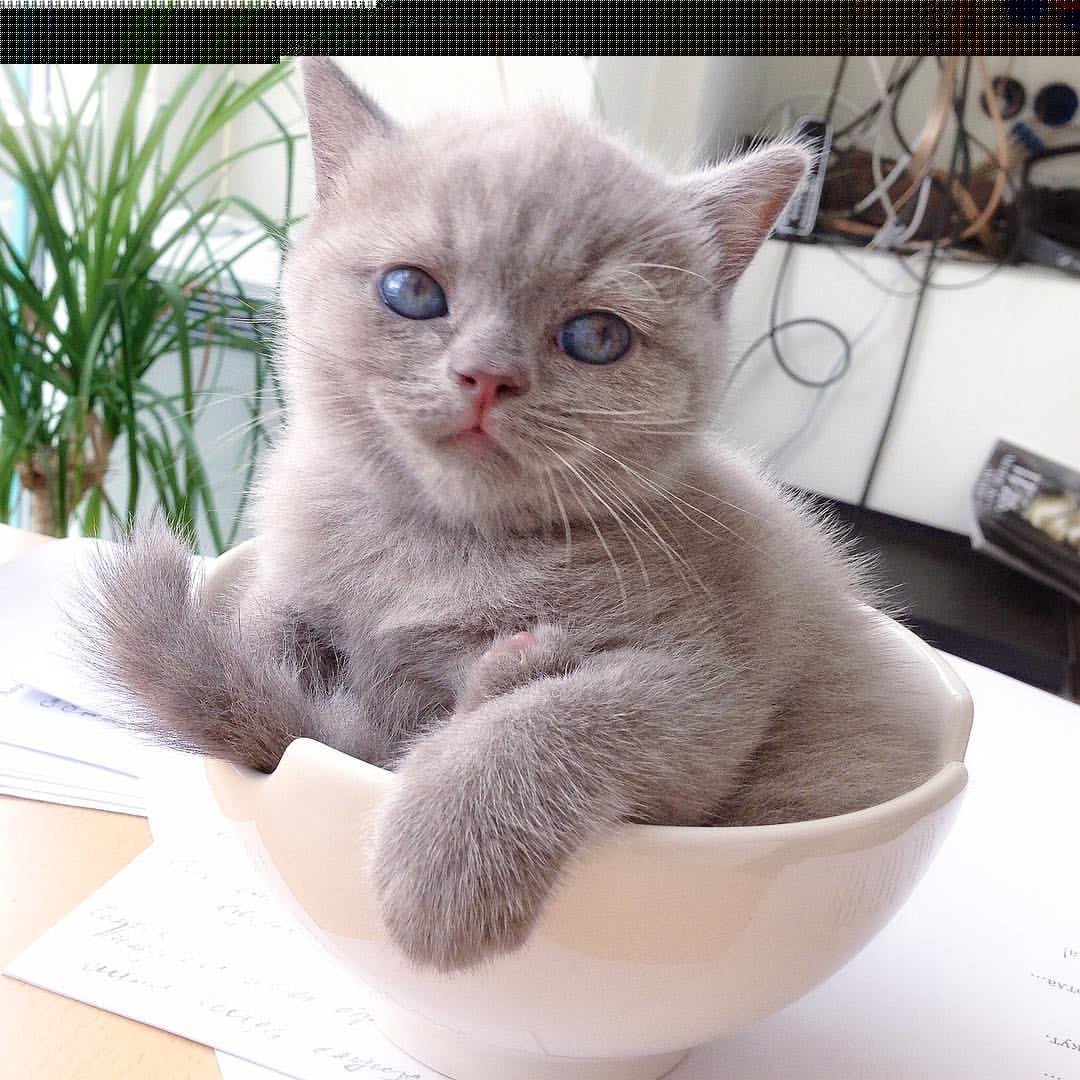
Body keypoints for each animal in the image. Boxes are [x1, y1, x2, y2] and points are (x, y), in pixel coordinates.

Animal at [82, 58, 940, 974]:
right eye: (411, 290)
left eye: (597, 336)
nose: (488, 374)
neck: (435, 551)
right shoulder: (288, 577)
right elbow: (266, 649)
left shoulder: (706, 686)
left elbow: (560, 717)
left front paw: (441, 867)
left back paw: (508, 673)